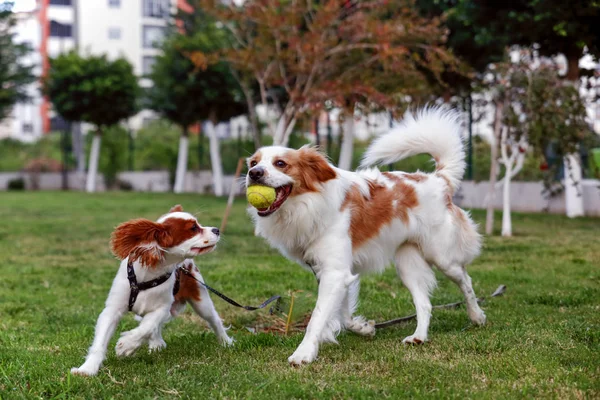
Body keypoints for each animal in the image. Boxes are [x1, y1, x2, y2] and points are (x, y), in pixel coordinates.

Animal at [69, 205, 231, 376]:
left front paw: (127, 345)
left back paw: (226, 342)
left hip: (201, 300)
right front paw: (87, 369)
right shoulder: (112, 310)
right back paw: (156, 344)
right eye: (193, 228)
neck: (149, 275)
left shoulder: (162, 307)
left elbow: (146, 326)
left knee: (214, 319)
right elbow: (101, 341)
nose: (217, 230)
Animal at [246, 107, 486, 366]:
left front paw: (304, 353)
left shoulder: (335, 272)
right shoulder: (330, 272)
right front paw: (363, 328)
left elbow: (317, 317)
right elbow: (341, 314)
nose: (253, 173)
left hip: (442, 257)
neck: (307, 204)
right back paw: (419, 336)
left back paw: (476, 316)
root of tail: (438, 179)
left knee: (466, 281)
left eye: (281, 163)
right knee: (425, 303)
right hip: (408, 265)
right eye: (254, 162)